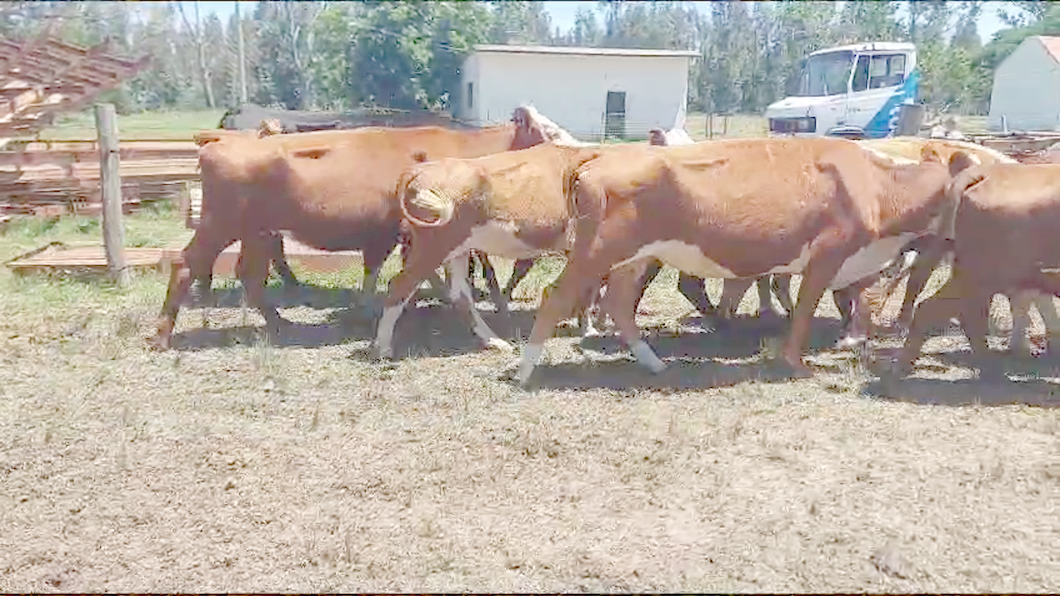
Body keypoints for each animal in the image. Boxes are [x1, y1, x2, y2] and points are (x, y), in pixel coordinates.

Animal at [152, 117, 559, 347]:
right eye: (551, 132)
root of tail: (221, 143)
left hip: (257, 232)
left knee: (250, 275)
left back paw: (281, 324)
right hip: (221, 225)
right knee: (187, 265)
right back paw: (162, 335)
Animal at [508, 136, 970, 381]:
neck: (878, 185)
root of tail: (600, 156)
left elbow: (860, 297)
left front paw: (853, 340)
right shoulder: (827, 254)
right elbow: (806, 308)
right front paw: (797, 363)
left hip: (635, 257)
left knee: (619, 304)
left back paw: (654, 363)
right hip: (597, 251)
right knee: (555, 296)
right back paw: (525, 370)